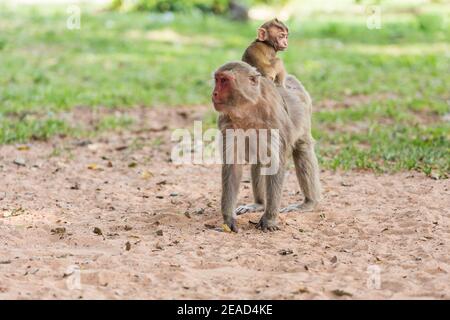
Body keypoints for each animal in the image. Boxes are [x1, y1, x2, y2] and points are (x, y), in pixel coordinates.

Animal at [211, 62, 320, 232]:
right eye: (217, 79)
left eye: (225, 81)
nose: (214, 93)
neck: (247, 110)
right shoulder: (226, 122)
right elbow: (233, 166)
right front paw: (228, 219)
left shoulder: (274, 121)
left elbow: (275, 164)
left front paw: (269, 219)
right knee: (259, 159)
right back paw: (259, 204)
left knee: (302, 151)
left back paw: (309, 202)